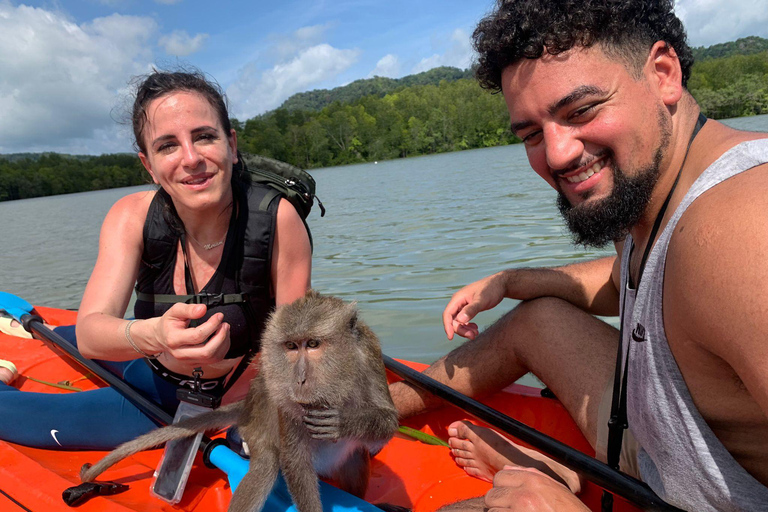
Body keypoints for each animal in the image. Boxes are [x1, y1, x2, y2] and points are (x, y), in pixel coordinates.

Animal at [80, 290, 400, 512]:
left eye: (312, 344)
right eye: (291, 346)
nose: (299, 379)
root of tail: (249, 404)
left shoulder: (369, 354)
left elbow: (387, 421)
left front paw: (343, 421)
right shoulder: (285, 398)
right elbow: (294, 459)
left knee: (356, 457)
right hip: (256, 426)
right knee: (267, 463)